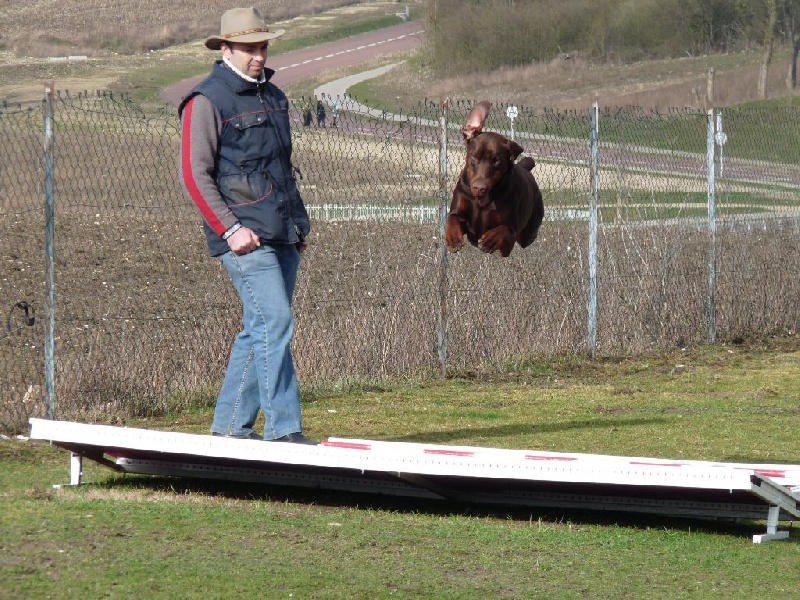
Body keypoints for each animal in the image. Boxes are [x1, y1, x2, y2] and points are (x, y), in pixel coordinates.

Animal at [444, 101, 544, 255]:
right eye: (474, 157)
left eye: (496, 161)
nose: (479, 188)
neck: (482, 199)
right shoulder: (460, 206)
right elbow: (452, 219)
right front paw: (453, 239)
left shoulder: (510, 231)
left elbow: (503, 229)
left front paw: (489, 241)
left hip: (528, 232)